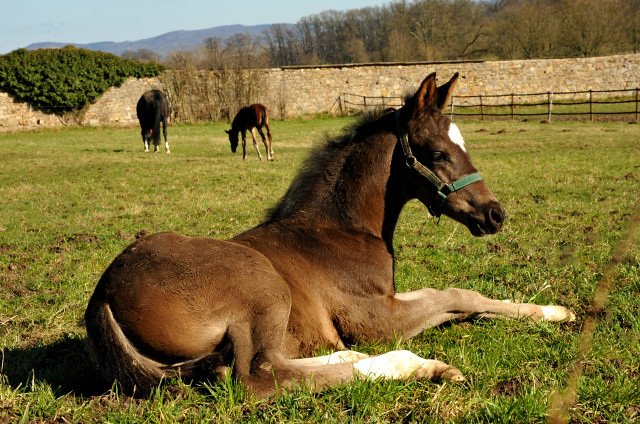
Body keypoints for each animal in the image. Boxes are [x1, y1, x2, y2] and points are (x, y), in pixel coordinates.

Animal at [85, 73, 576, 398]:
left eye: (464, 145)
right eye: (437, 153)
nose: (495, 214)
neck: (341, 231)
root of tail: (104, 295)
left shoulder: (390, 297)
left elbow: (459, 294)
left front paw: (554, 311)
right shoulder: (376, 319)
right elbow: (455, 295)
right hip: (264, 289)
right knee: (260, 376)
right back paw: (419, 366)